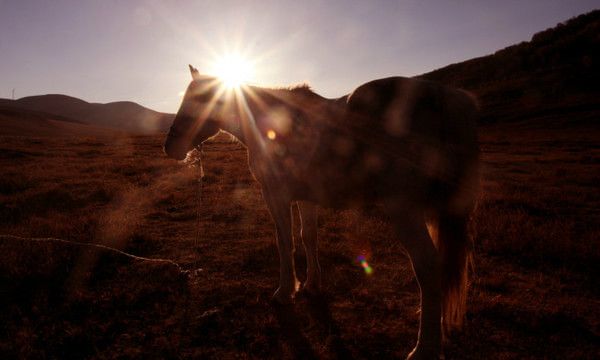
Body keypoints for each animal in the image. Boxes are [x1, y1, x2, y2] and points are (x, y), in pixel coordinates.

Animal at [163, 64, 478, 358]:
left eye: (198, 100)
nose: (170, 146)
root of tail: (445, 95)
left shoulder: (276, 195)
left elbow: (285, 242)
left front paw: (284, 292)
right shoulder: (306, 198)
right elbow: (308, 238)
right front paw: (312, 285)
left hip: (404, 208)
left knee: (427, 265)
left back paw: (424, 348)